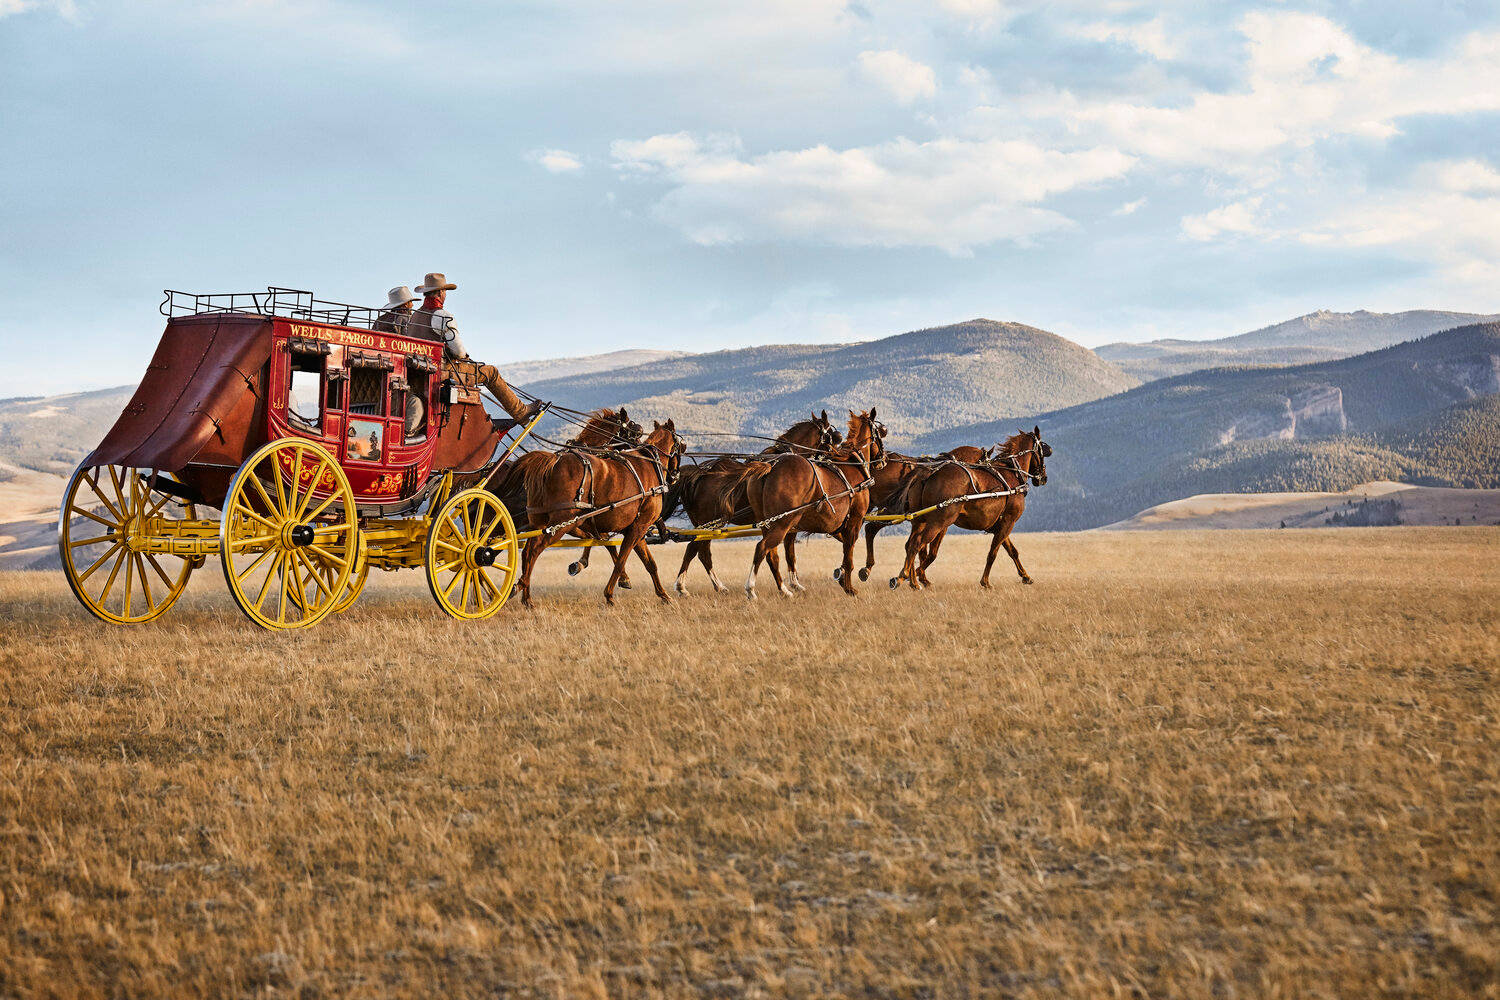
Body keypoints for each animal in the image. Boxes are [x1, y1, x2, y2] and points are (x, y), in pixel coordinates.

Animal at [516, 419, 681, 605]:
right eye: (681, 446)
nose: (675, 475)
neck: (649, 463)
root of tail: (552, 461)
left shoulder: (636, 528)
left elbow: (649, 563)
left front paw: (663, 595)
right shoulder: (639, 527)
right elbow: (621, 560)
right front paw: (609, 594)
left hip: (541, 522)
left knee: (526, 552)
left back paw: (525, 594)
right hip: (561, 524)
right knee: (534, 550)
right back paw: (523, 589)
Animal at [669, 413, 846, 593]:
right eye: (830, 433)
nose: (839, 449)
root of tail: (698, 474)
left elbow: (786, 553)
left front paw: (794, 583)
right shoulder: (788, 521)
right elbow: (789, 553)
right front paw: (794, 584)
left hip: (706, 524)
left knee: (701, 552)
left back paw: (716, 586)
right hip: (709, 522)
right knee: (695, 550)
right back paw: (684, 586)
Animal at [741, 407, 882, 599]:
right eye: (880, 432)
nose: (883, 458)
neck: (854, 464)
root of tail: (772, 465)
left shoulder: (833, 526)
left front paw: (840, 576)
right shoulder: (855, 519)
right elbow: (849, 555)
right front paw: (849, 587)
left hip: (769, 524)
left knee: (771, 555)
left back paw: (783, 589)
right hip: (783, 522)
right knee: (762, 548)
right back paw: (751, 588)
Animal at [894, 425, 1050, 590]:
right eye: (1043, 450)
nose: (1044, 478)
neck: (1012, 474)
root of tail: (929, 473)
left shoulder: (999, 525)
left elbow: (1012, 551)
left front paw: (1026, 576)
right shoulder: (1009, 521)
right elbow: (992, 553)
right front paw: (985, 582)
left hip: (920, 521)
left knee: (910, 545)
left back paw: (911, 579)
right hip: (940, 522)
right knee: (917, 544)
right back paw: (905, 576)